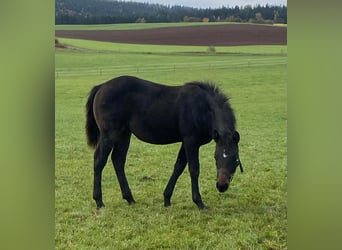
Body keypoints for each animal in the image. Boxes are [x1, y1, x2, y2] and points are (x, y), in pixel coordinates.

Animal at [85, 75, 243, 209]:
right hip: (109, 134)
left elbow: (178, 167)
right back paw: (99, 201)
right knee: (99, 161)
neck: (202, 108)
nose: (221, 186)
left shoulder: (186, 142)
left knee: (118, 160)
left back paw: (130, 198)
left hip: (124, 135)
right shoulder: (191, 141)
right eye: (215, 157)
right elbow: (194, 169)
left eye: (235, 158)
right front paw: (199, 203)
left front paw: (167, 199)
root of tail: (101, 86)